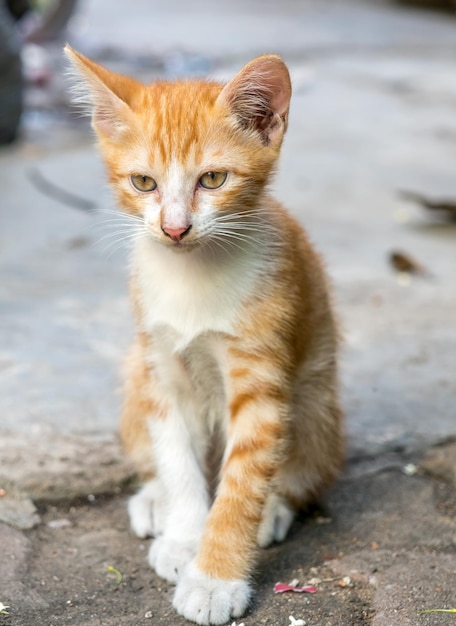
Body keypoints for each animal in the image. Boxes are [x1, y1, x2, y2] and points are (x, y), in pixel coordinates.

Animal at [63, 46, 342, 620]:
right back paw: (155, 503)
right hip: (134, 369)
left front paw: (214, 579)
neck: (191, 278)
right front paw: (182, 535)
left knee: (302, 470)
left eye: (212, 179)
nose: (174, 229)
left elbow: (241, 484)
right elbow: (177, 459)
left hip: (316, 399)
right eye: (143, 183)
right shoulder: (161, 366)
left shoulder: (261, 380)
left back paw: (273, 509)